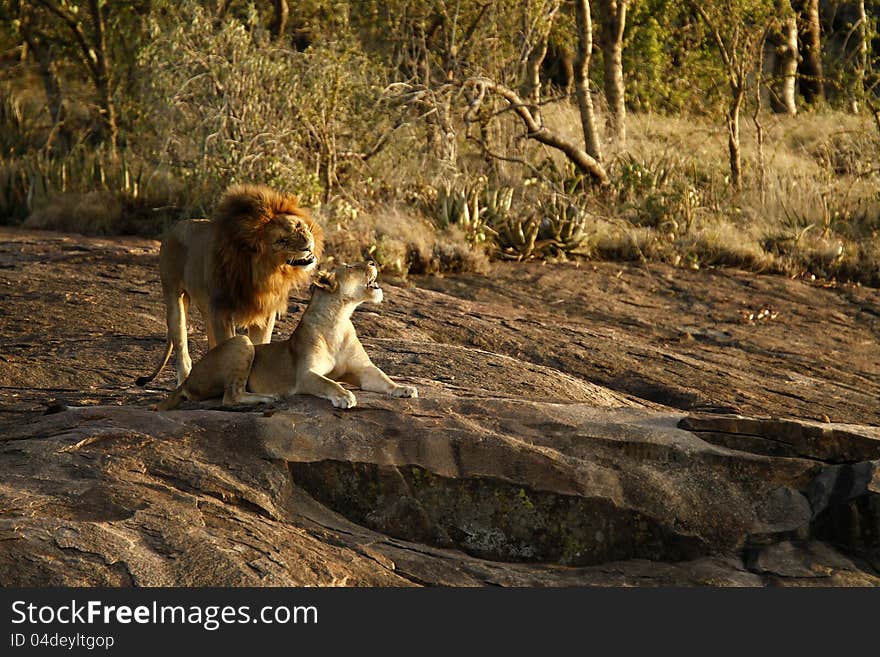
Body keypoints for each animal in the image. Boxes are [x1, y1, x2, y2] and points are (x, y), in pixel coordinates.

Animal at [139, 182, 324, 386]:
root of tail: (175, 227)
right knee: (181, 343)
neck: (266, 273)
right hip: (174, 297)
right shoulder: (222, 311)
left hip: (206, 308)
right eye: (281, 241)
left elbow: (259, 344)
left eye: (299, 226)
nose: (307, 245)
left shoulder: (264, 311)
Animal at [156, 262, 418, 410]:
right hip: (242, 342)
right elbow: (329, 382)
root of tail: (187, 381)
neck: (339, 319)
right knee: (230, 397)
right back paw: (268, 398)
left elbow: (382, 377)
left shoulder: (363, 370)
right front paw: (344, 395)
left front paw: (404, 388)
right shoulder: (305, 375)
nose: (372, 261)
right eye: (353, 267)